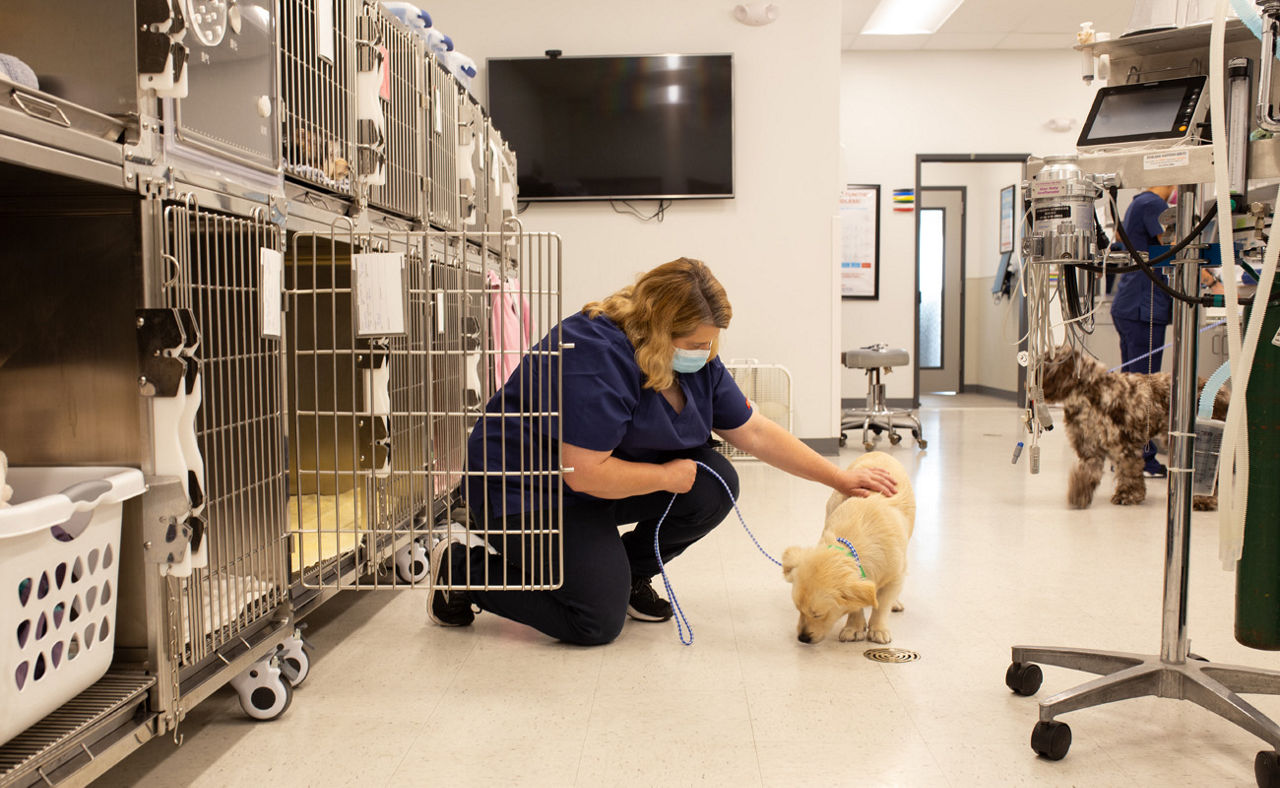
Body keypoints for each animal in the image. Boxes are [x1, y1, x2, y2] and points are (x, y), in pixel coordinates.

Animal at [778, 452, 911, 642]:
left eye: (818, 614)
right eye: (798, 609)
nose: (802, 638)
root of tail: (879, 452)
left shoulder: (895, 576)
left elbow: (882, 605)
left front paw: (878, 628)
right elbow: (856, 604)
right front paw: (854, 627)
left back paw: (895, 603)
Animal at [1034, 345, 1223, 509]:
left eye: (1047, 361)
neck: (1087, 392)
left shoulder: (1124, 445)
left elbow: (1128, 472)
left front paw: (1128, 495)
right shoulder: (1089, 447)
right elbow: (1087, 472)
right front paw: (1079, 494)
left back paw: (1203, 499)